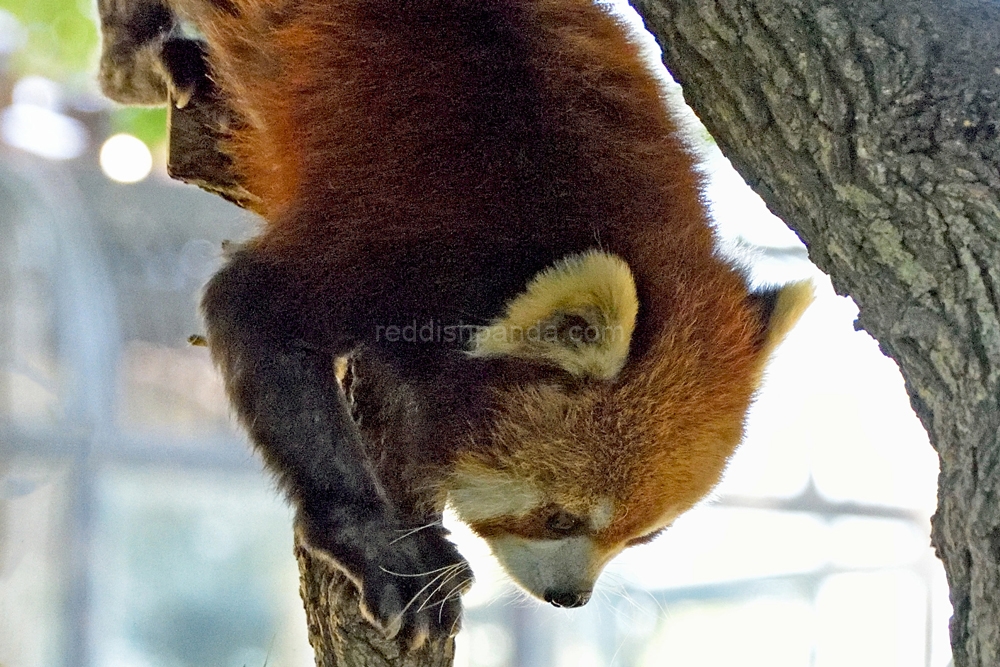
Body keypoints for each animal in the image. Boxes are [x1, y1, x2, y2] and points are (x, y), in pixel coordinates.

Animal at [97, 0, 812, 652]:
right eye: (559, 516)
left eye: (645, 535)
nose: (569, 599)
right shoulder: (402, 244)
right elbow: (250, 306)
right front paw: (388, 552)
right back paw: (154, 57)